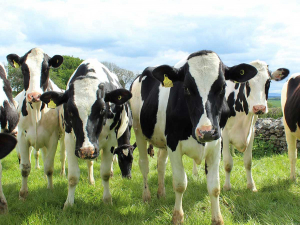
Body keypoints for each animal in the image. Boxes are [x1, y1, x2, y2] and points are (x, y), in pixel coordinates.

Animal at [6, 48, 63, 200]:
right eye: (24, 69)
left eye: (46, 68)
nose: (34, 96)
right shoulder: (22, 137)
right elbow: (25, 167)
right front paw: (23, 194)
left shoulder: (53, 138)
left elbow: (49, 167)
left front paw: (50, 188)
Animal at [39, 59, 131, 208]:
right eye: (70, 110)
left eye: (102, 109)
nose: (86, 150)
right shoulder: (71, 140)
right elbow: (72, 176)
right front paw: (68, 203)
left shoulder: (111, 140)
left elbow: (105, 173)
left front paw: (107, 200)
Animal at [129, 51, 258, 225]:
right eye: (186, 88)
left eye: (222, 87)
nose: (206, 132)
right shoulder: (174, 144)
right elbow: (180, 183)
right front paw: (177, 217)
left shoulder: (217, 144)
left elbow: (214, 186)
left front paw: (217, 219)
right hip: (138, 130)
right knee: (144, 165)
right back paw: (146, 196)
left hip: (162, 140)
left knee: (161, 164)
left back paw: (161, 193)